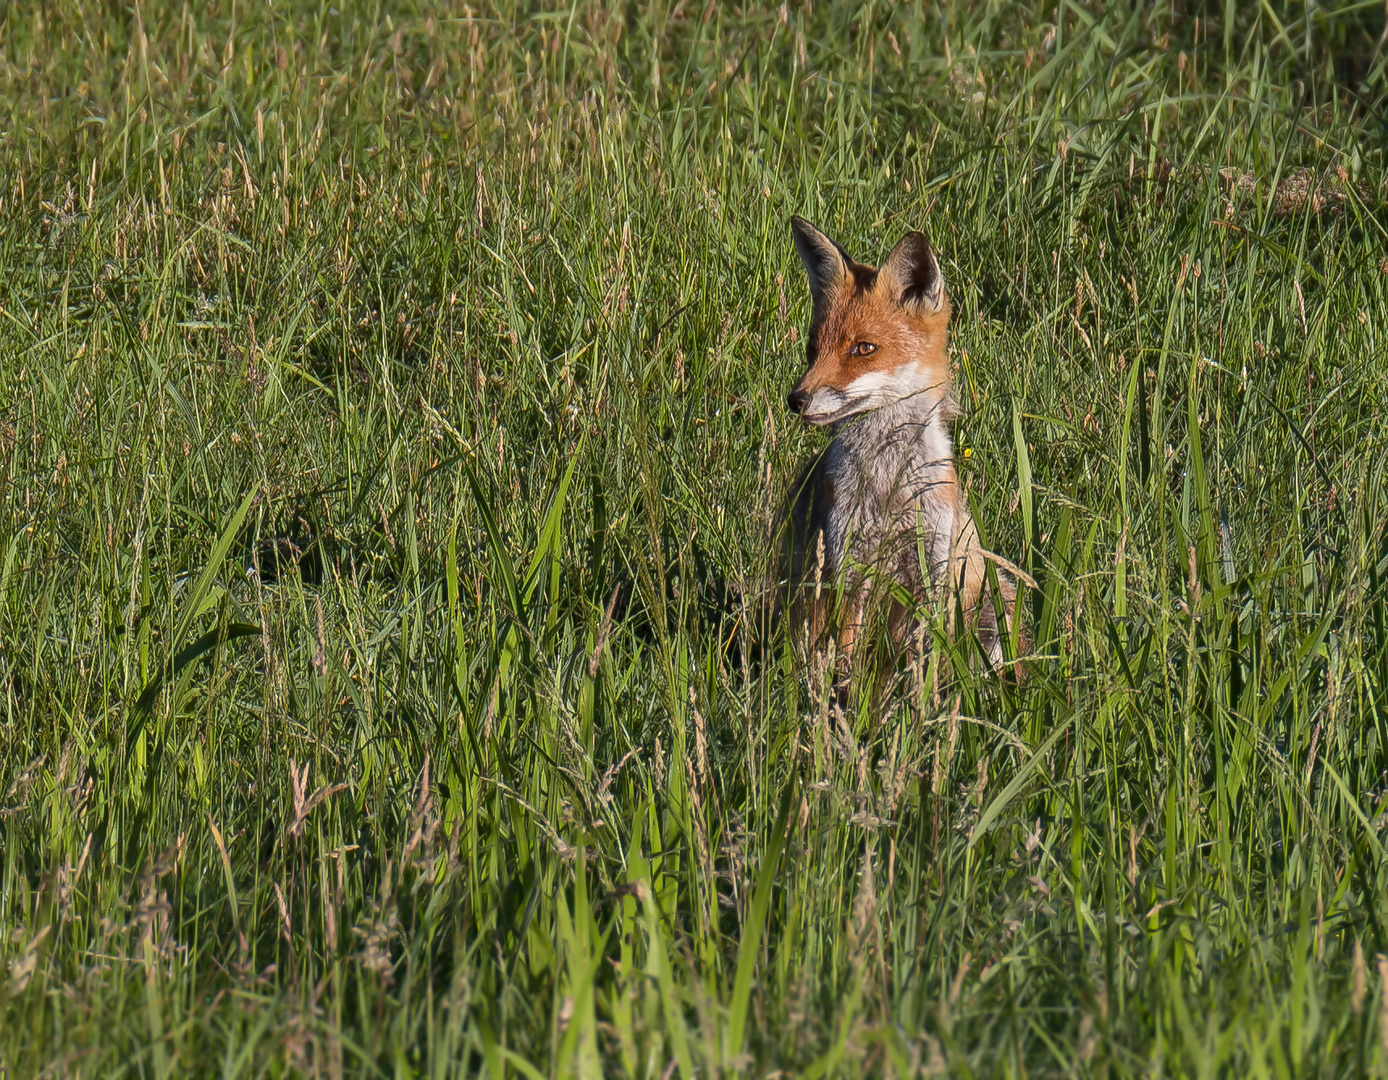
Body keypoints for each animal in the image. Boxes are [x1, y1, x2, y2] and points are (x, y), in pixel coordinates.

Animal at [782, 217, 1021, 669]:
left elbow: (919, 665)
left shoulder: (930, 571)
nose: (796, 400)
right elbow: (847, 658)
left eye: (863, 348)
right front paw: (844, 690)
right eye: (811, 348)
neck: (888, 487)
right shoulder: (848, 567)